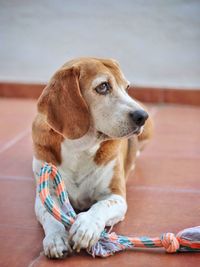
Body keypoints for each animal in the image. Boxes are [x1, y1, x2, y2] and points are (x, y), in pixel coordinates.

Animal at [32, 57, 152, 260]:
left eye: (127, 87)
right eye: (103, 86)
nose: (142, 116)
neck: (79, 148)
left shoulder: (116, 195)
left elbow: (102, 206)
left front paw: (86, 226)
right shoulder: (45, 192)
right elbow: (50, 214)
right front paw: (56, 238)